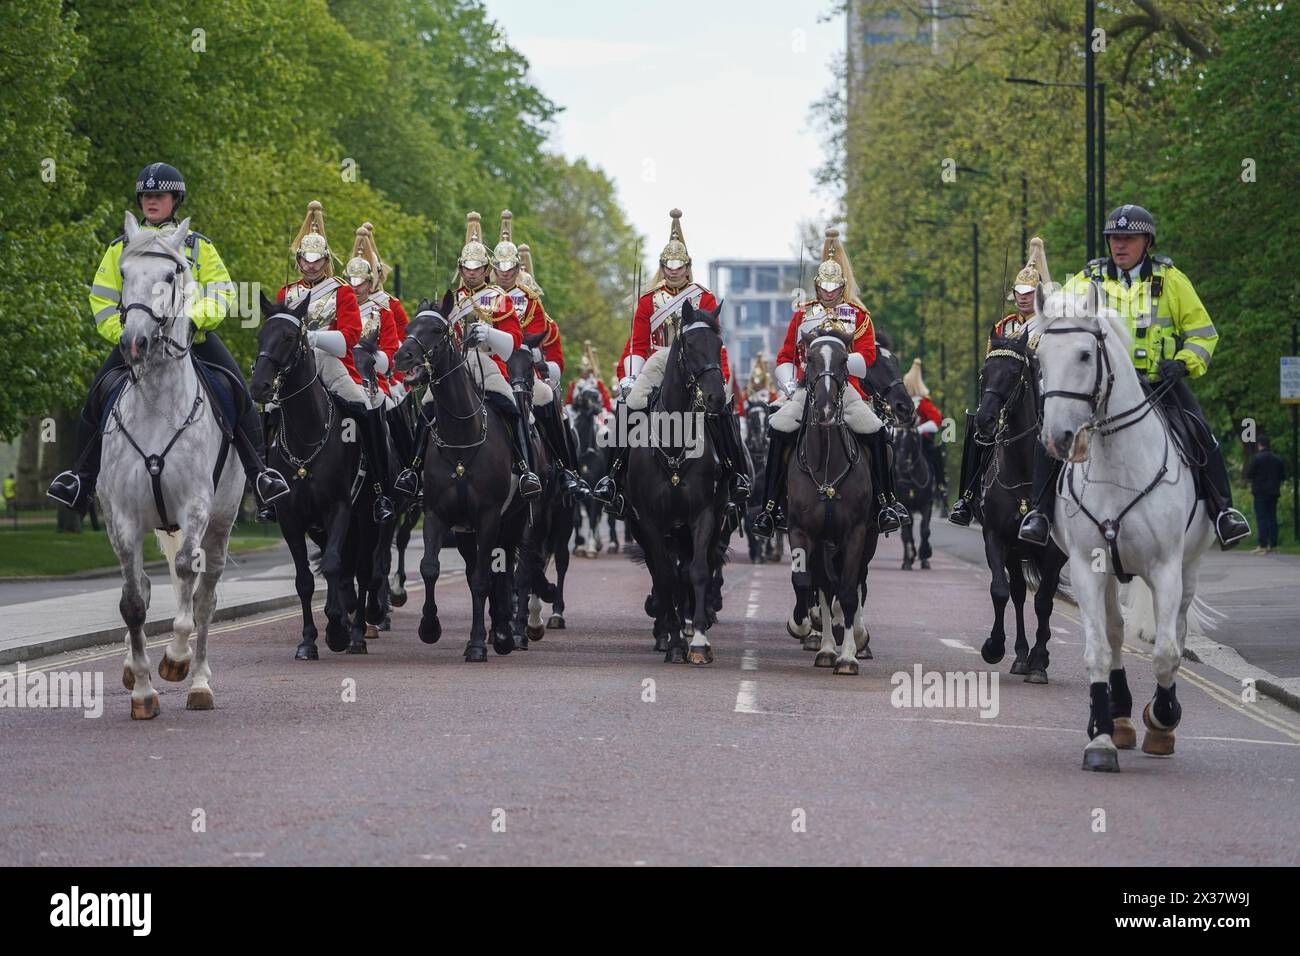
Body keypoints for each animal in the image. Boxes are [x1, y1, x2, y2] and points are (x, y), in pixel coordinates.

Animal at [97, 209, 244, 717]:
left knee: (203, 595)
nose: (135, 342)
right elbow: (132, 603)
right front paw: (142, 689)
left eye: (170, 274)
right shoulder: (122, 517)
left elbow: (187, 590)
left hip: (220, 524)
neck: (158, 406)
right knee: (145, 585)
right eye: (123, 274)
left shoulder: (195, 509)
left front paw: (175, 661)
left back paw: (198, 681)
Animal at [1029, 282, 1211, 770]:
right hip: (1111, 572)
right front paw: (1101, 738)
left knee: (1176, 630)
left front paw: (1163, 719)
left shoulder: (1165, 568)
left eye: (1084, 354)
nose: (1058, 439)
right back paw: (1121, 718)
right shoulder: (1086, 568)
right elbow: (1098, 651)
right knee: (1114, 634)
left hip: (1188, 567)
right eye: (1040, 357)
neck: (1118, 466)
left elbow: (1166, 652)